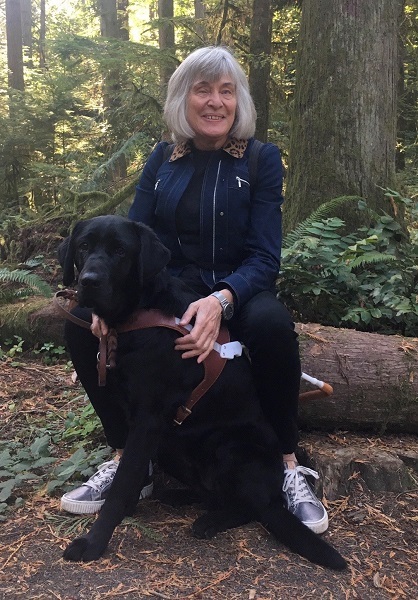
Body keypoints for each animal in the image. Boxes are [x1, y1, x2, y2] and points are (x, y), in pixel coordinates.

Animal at [58, 213, 346, 568]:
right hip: (172, 443)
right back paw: (176, 495)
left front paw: (93, 542)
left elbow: (123, 484)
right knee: (211, 493)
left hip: (228, 446)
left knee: (254, 508)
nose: (89, 281)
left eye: (120, 251)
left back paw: (211, 520)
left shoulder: (148, 419)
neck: (140, 315)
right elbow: (130, 476)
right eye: (84, 246)